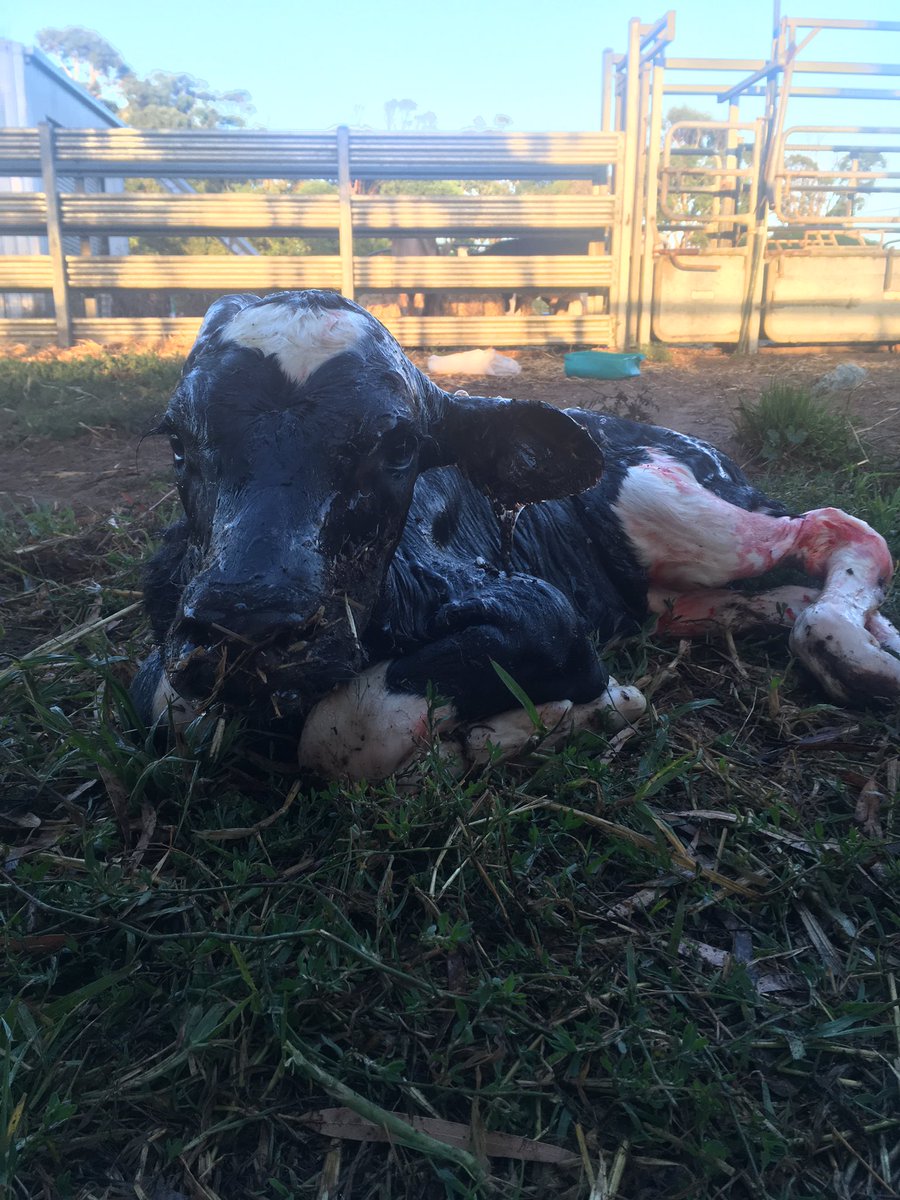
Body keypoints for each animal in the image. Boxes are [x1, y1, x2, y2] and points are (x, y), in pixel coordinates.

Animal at [131, 289, 900, 781]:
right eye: (176, 439)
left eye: (400, 446)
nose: (247, 623)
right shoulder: (168, 644)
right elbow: (171, 712)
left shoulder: (544, 616)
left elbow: (347, 728)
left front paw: (567, 714)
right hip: (669, 592)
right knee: (774, 597)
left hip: (666, 500)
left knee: (835, 529)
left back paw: (859, 655)